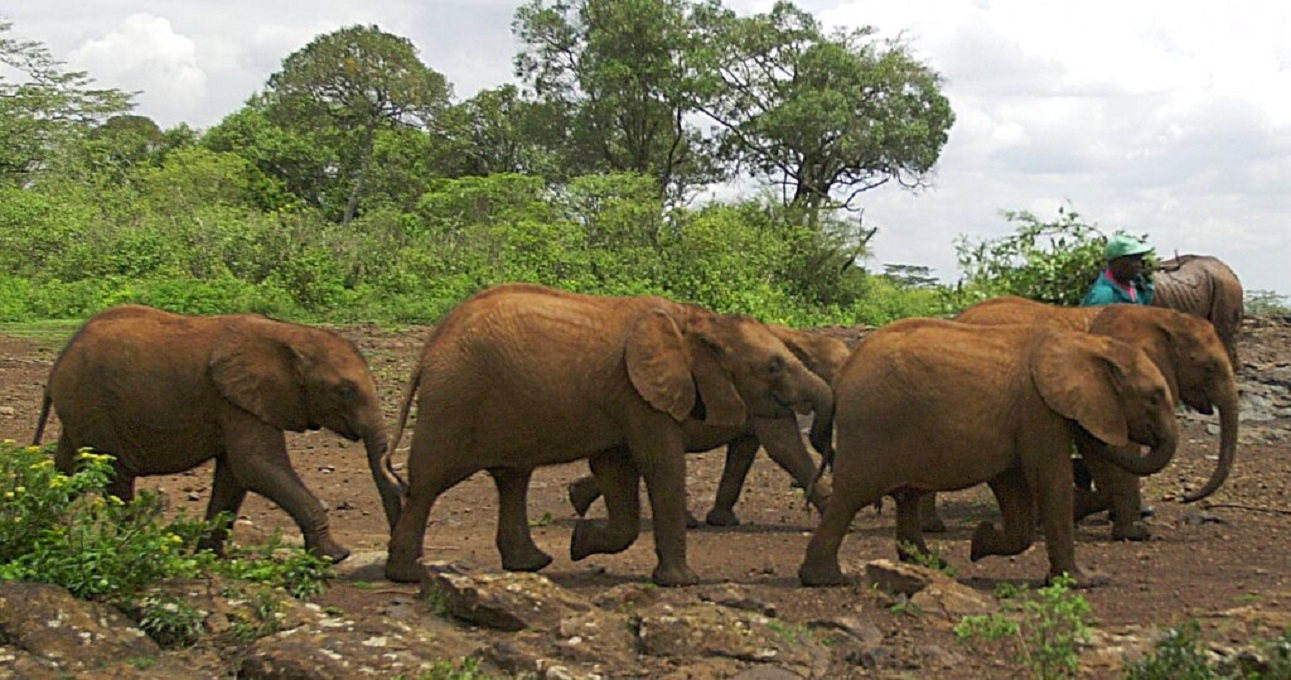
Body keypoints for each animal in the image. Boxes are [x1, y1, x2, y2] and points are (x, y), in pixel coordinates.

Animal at [31, 307, 402, 565]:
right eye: (345, 391)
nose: (392, 546)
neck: (289, 333)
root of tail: (58, 362)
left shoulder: (240, 404)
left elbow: (235, 475)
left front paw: (210, 558)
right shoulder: (237, 401)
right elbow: (256, 466)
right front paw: (335, 556)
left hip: (81, 409)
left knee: (69, 469)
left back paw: (41, 525)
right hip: (93, 405)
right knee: (115, 474)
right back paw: (128, 545)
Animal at [562, 327, 846, 529]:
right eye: (836, 373)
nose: (831, 458)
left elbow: (744, 450)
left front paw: (722, 521)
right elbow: (784, 447)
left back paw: (576, 498)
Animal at [795, 316, 1182, 588]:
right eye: (1154, 397)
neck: (1085, 344)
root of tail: (844, 374)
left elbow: (1015, 491)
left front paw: (979, 543)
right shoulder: (1037, 410)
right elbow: (1050, 481)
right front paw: (1082, 583)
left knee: (906, 496)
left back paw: (932, 566)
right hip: (873, 426)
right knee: (851, 497)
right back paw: (826, 580)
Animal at [919, 295, 1239, 539]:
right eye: (1209, 368)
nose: (1187, 497)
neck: (1164, 319)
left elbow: (1097, 448)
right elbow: (1121, 450)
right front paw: (1134, 533)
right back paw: (934, 527)